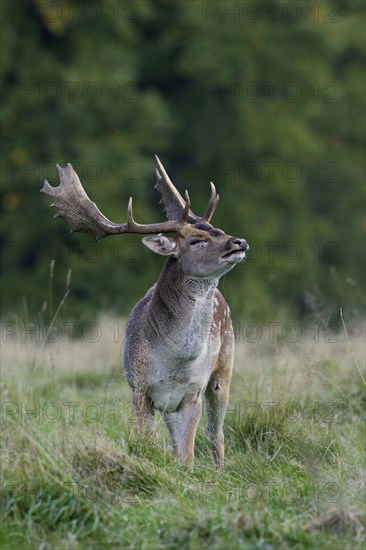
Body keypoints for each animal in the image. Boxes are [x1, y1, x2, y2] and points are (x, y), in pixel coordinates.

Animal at [42, 157, 249, 468]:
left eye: (220, 230)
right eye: (195, 240)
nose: (238, 242)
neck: (173, 361)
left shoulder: (193, 392)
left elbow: (188, 454)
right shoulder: (138, 388)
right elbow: (147, 443)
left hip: (224, 370)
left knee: (217, 434)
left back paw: (220, 470)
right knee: (181, 439)